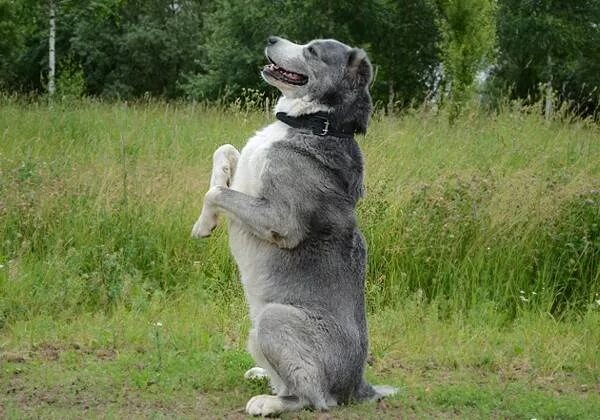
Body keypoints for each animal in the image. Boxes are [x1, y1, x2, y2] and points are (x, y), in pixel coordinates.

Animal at [193, 35, 398, 414]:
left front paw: (203, 224)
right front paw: (206, 219)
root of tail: (358, 386)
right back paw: (262, 374)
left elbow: (216, 192)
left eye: (312, 51)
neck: (315, 123)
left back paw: (268, 402)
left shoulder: (279, 219)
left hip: (273, 318)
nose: (271, 38)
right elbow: (223, 152)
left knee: (314, 398)